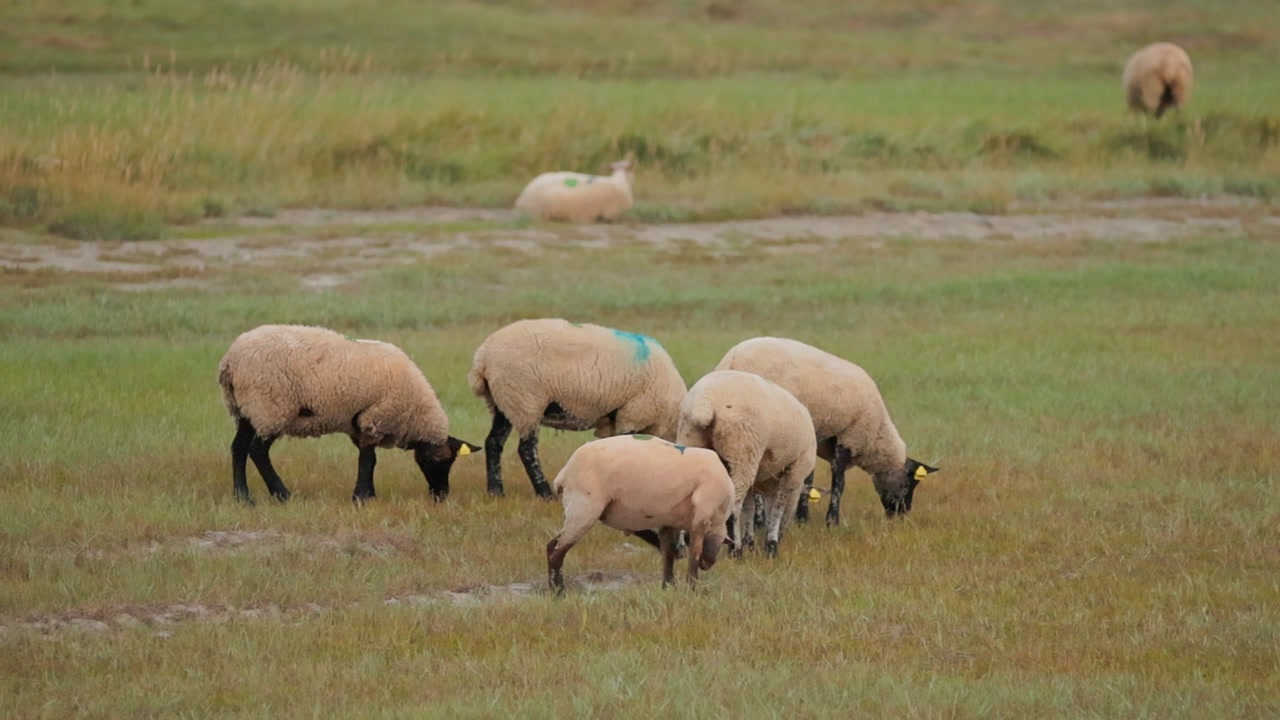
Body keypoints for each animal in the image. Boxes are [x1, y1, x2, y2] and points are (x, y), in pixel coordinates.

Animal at [218, 324, 480, 505]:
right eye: (437, 461)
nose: (441, 495)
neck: (415, 414)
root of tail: (230, 360)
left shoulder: (360, 425)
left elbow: (368, 459)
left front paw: (368, 494)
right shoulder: (375, 418)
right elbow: (368, 460)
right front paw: (362, 497)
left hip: (247, 409)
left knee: (238, 448)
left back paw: (242, 497)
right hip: (270, 408)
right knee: (257, 451)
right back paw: (282, 494)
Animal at [468, 318, 687, 500]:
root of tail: (483, 356)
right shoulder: (633, 414)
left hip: (504, 401)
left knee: (494, 443)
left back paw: (496, 492)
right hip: (526, 400)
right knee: (526, 449)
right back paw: (545, 494)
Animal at [546, 434, 734, 593]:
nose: (707, 564)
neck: (719, 516)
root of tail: (564, 474)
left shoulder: (668, 521)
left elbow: (668, 554)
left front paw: (668, 588)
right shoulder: (702, 517)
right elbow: (694, 554)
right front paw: (691, 589)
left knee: (552, 547)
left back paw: (554, 590)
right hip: (584, 509)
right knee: (556, 551)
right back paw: (559, 592)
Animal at [676, 370, 816, 558]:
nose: (782, 536)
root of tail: (705, 402)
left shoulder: (759, 479)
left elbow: (750, 508)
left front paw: (751, 542)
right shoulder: (795, 471)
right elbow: (777, 509)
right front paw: (771, 546)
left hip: (691, 439)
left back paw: (681, 548)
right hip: (742, 452)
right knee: (734, 508)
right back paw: (736, 550)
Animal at [715, 337, 939, 526]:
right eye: (907, 485)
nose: (902, 515)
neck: (877, 438)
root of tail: (732, 360)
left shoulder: (815, 440)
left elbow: (808, 478)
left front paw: (802, 518)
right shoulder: (850, 437)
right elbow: (839, 484)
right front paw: (832, 521)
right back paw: (759, 521)